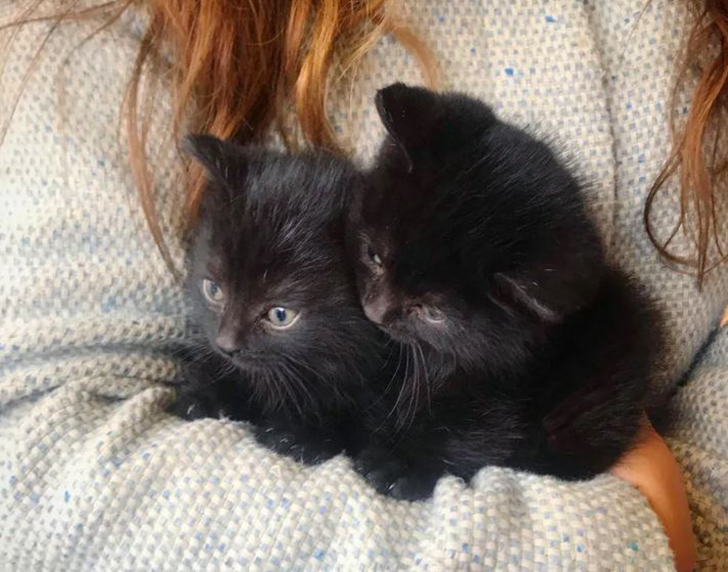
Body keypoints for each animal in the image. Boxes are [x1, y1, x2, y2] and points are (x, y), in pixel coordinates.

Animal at [347, 83, 665, 500]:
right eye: (374, 256)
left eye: (433, 311)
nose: (375, 312)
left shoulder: (508, 397)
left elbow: (479, 432)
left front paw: (400, 463)